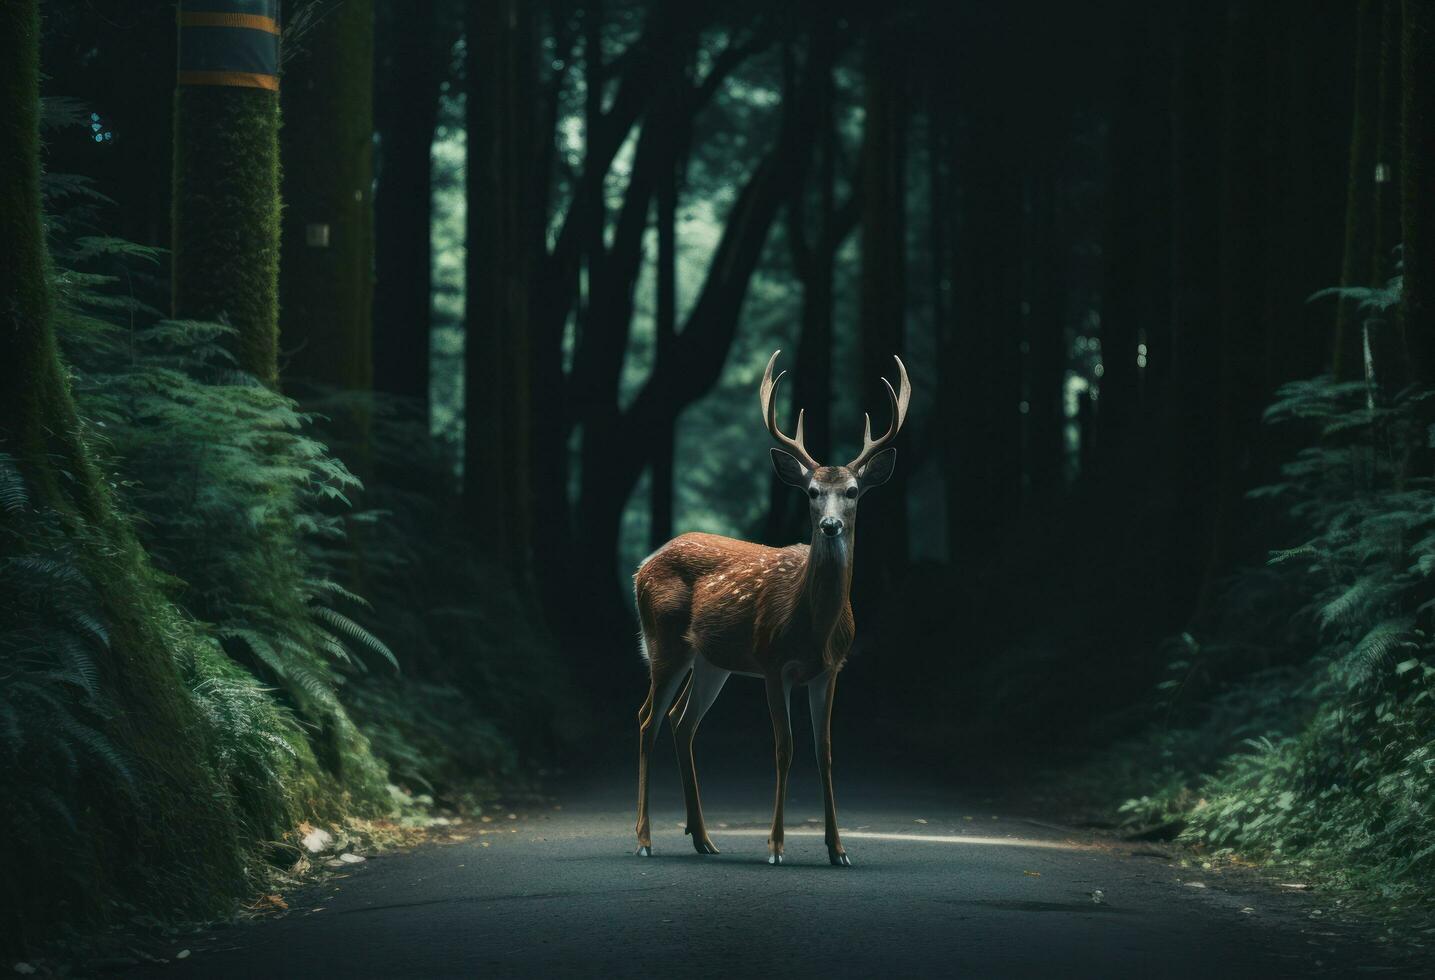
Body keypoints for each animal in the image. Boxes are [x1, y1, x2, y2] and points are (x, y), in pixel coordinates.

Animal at [631, 347, 906, 866]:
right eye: (813, 492)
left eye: (853, 492)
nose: (831, 526)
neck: (815, 628)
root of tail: (642, 566)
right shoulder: (773, 662)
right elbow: (784, 747)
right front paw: (776, 846)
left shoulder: (831, 668)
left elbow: (824, 751)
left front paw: (838, 849)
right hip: (663, 642)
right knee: (647, 720)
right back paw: (644, 839)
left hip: (711, 660)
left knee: (681, 723)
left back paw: (703, 838)